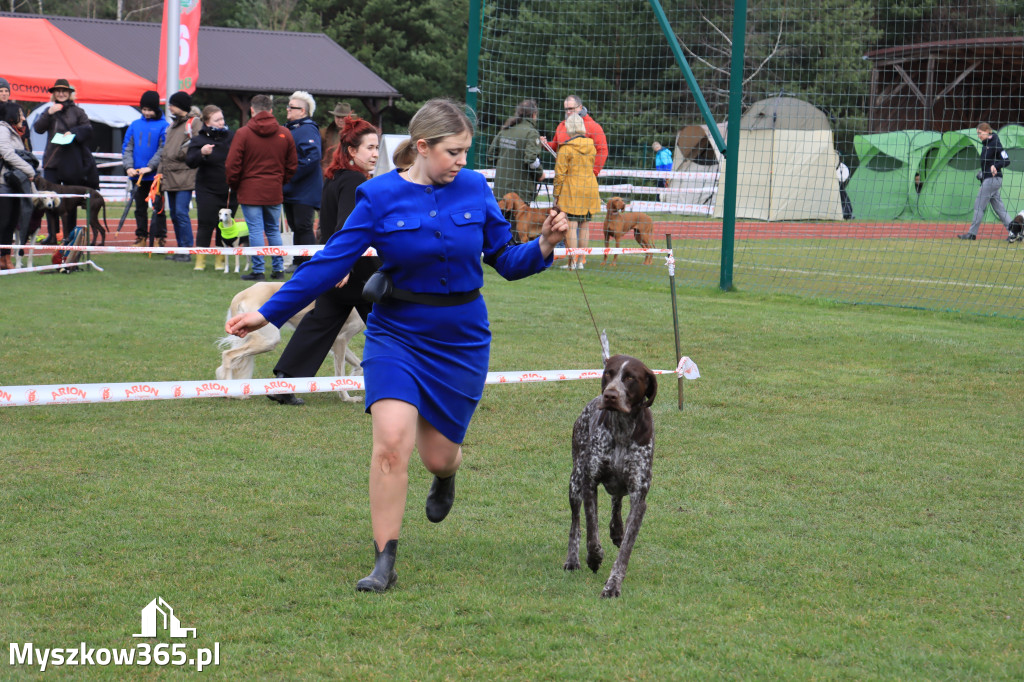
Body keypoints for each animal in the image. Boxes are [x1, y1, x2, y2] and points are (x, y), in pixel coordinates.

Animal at [214, 280, 366, 399]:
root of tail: (241, 294)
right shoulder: (340, 339)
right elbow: (340, 373)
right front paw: (347, 397)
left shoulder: (336, 342)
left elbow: (358, 365)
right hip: (269, 338)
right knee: (228, 355)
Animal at [569, 352, 655, 593]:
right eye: (609, 373)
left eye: (630, 378)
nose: (610, 395)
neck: (622, 429)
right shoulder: (589, 483)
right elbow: (591, 530)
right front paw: (594, 557)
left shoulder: (638, 498)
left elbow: (626, 549)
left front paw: (613, 585)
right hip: (575, 482)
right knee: (575, 524)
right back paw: (572, 560)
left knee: (617, 501)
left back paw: (616, 530)